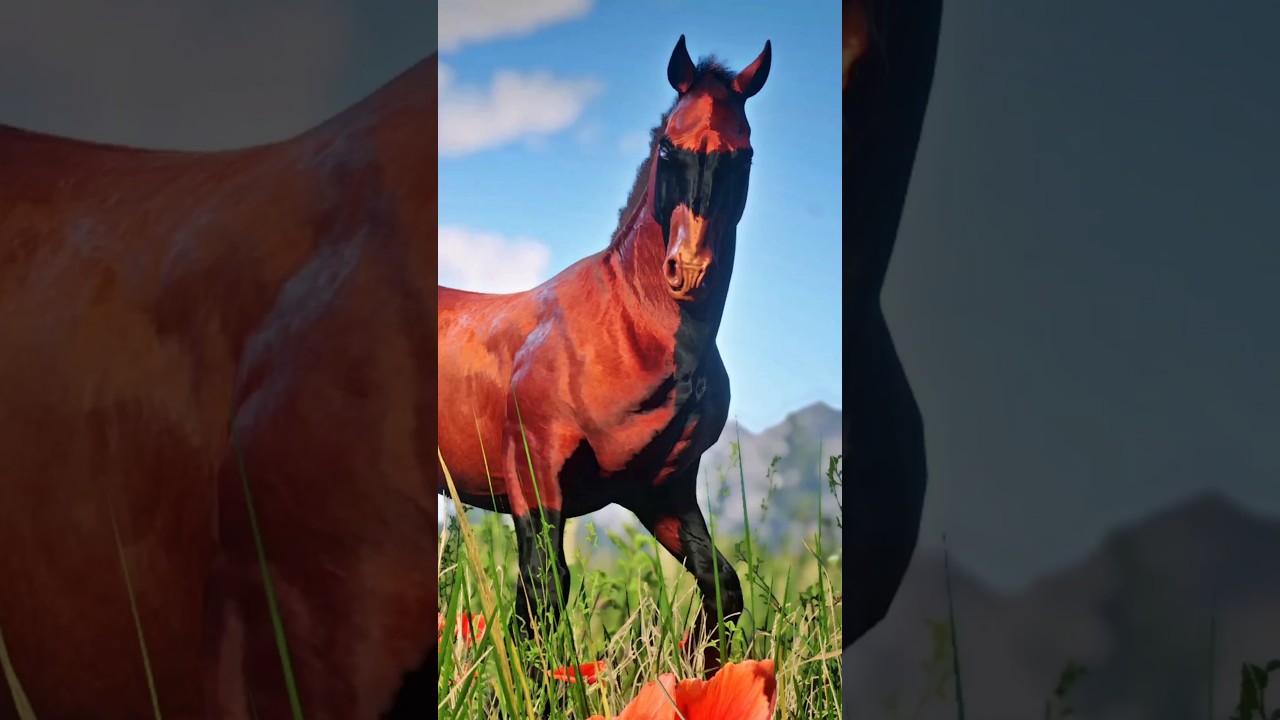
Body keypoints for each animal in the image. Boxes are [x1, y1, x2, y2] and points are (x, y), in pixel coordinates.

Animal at [437, 35, 770, 681]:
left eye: (743, 154)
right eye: (668, 145)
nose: (688, 270)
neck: (625, 329)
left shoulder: (663, 491)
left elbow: (722, 585)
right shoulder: (535, 482)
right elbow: (542, 599)